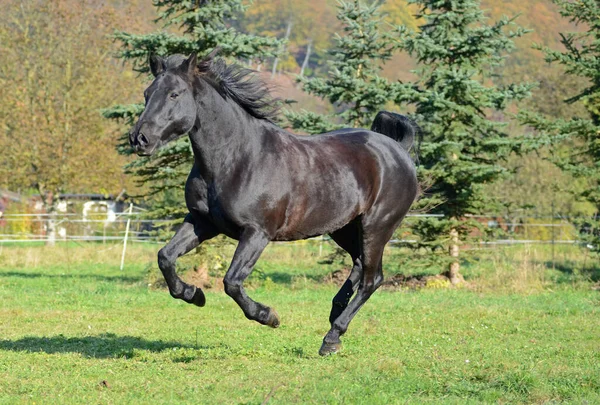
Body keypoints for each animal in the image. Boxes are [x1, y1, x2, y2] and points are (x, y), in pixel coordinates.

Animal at [129, 50, 418, 354]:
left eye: (174, 94)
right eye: (147, 93)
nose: (139, 139)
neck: (238, 158)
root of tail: (398, 150)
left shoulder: (257, 232)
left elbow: (232, 281)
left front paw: (268, 316)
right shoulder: (202, 222)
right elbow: (165, 257)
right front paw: (194, 294)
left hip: (376, 227)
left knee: (372, 279)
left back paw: (332, 337)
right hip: (344, 228)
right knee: (360, 265)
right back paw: (335, 313)